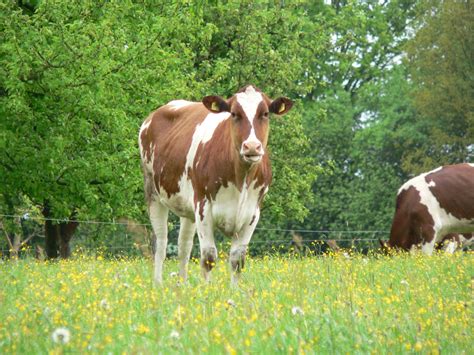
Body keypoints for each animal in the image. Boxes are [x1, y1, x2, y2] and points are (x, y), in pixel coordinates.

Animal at [137, 85, 292, 286]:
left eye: (265, 113)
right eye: (234, 114)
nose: (252, 147)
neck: (241, 180)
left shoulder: (253, 213)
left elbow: (238, 259)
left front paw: (234, 291)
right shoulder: (203, 206)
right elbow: (208, 257)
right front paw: (207, 289)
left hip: (188, 206)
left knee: (184, 245)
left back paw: (183, 284)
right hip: (153, 191)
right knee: (161, 242)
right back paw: (158, 283)